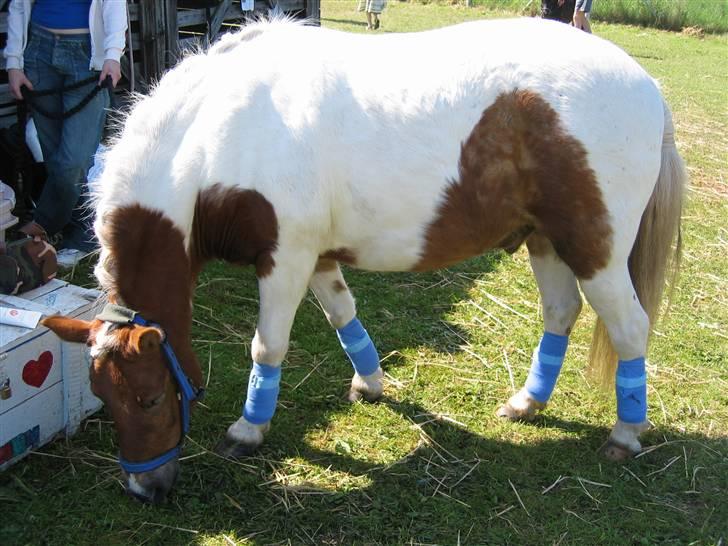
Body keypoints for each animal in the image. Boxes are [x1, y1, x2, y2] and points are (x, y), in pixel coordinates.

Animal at [42, 17, 686, 503]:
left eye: (150, 398)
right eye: (103, 398)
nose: (144, 488)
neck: (221, 132)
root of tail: (648, 85)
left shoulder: (284, 258)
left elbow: (267, 347)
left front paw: (248, 429)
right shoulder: (317, 256)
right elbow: (342, 315)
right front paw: (371, 382)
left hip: (595, 249)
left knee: (630, 327)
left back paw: (626, 432)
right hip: (545, 240)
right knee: (560, 313)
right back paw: (528, 401)